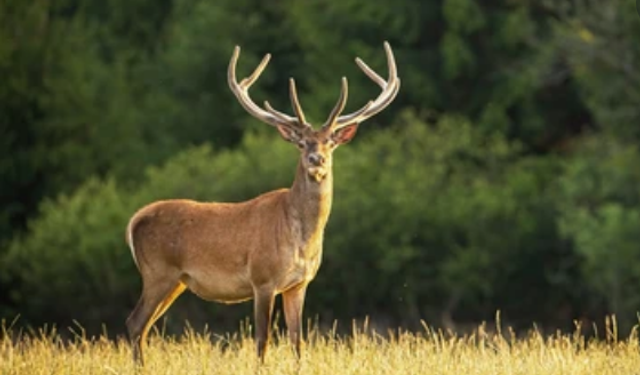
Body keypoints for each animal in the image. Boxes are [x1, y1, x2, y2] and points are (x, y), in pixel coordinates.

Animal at [124, 41, 400, 368]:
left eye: (330, 142)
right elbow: (262, 340)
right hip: (158, 271)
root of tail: (134, 220)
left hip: (176, 280)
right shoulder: (262, 278)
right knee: (135, 322)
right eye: (301, 142)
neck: (301, 239)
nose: (316, 159)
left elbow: (297, 341)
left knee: (142, 326)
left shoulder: (299, 284)